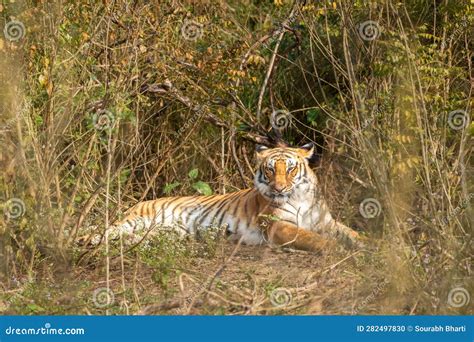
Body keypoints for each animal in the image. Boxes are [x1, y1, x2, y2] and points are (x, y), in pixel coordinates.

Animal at [99, 142, 360, 251]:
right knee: (101, 232)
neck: (300, 197)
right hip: (136, 221)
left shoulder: (326, 222)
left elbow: (353, 233)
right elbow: (311, 237)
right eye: (270, 170)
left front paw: (366, 245)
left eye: (290, 169)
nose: (278, 189)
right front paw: (336, 248)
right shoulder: (279, 226)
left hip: (165, 232)